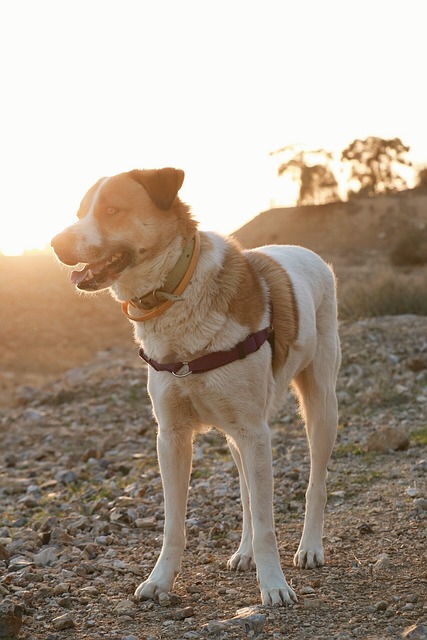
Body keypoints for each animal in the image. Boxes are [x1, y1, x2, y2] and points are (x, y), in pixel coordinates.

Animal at [51, 168, 342, 608]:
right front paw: (160, 581)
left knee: (315, 484)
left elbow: (267, 523)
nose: (55, 243)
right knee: (246, 493)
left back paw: (310, 547)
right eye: (80, 211)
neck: (178, 294)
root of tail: (307, 253)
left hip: (320, 405)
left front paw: (274, 585)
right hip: (237, 435)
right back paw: (244, 552)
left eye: (112, 210)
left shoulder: (255, 432)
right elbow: (175, 523)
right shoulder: (172, 437)